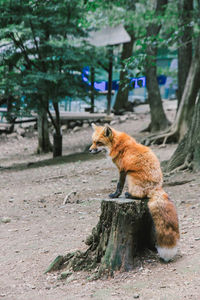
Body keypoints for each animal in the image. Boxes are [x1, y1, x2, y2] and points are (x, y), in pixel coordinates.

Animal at [89, 123, 180, 262]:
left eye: (98, 143)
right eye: (93, 142)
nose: (89, 150)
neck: (117, 145)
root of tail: (157, 187)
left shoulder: (122, 170)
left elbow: (119, 185)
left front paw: (115, 195)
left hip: (131, 176)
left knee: (140, 195)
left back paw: (130, 195)